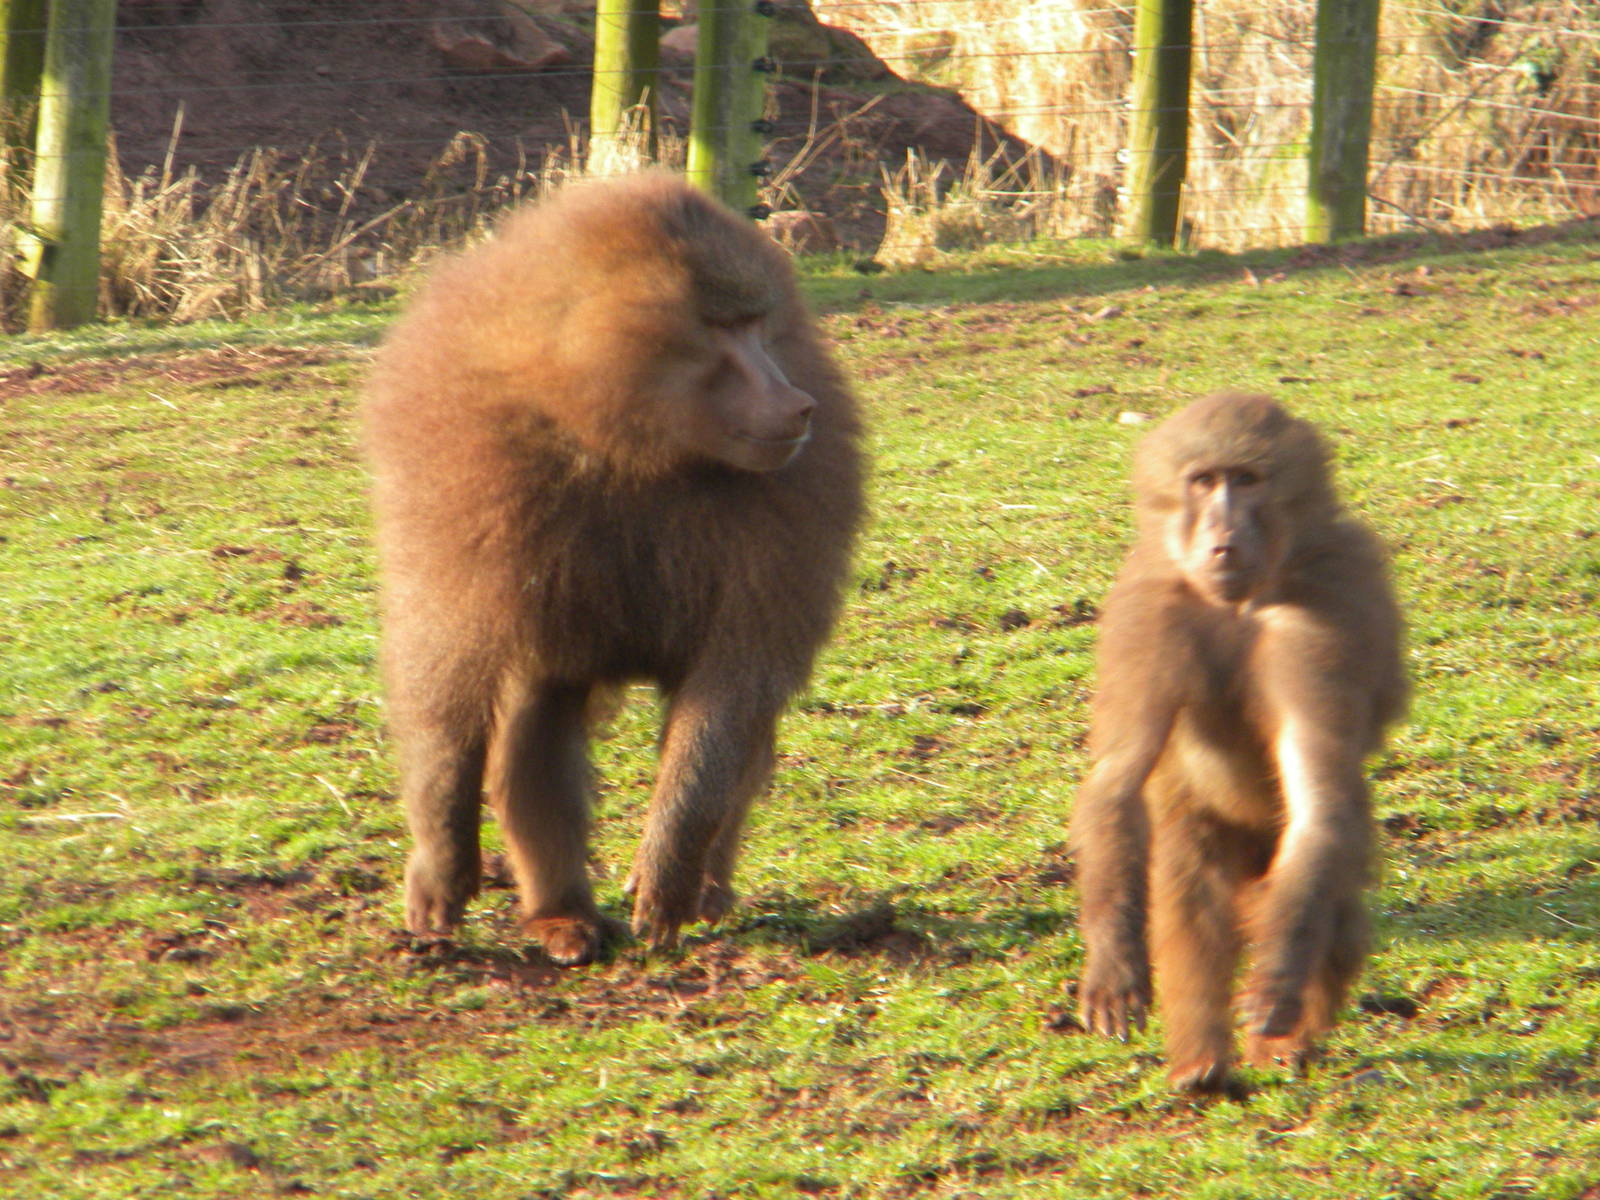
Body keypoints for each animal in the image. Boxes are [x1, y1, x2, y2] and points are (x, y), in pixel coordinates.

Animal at [362, 173, 864, 966]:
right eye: (720, 329)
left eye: (758, 324)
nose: (797, 403)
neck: (621, 433)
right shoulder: (470, 471)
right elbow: (444, 661)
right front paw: (441, 862)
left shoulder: (797, 499)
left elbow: (735, 685)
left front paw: (666, 873)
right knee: (538, 718)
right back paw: (563, 919)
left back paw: (704, 888)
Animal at [1070, 392, 1406, 1091]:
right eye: (1204, 481)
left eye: (1247, 480)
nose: (1222, 537)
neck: (1240, 603)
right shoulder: (1152, 610)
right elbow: (1118, 779)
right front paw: (1115, 965)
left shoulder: (1319, 620)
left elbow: (1321, 801)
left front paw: (1278, 982)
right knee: (1191, 887)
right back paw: (1202, 1065)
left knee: (1334, 903)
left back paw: (1284, 1044)